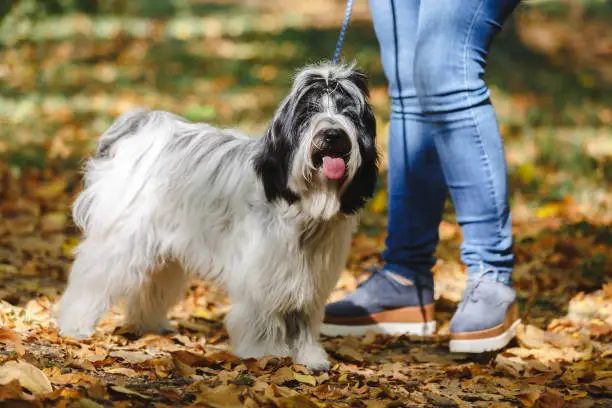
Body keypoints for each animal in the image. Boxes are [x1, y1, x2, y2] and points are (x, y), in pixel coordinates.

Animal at [59, 62, 380, 372]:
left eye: (348, 112)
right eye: (309, 112)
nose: (333, 134)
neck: (305, 206)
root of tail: (142, 131)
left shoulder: (310, 278)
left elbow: (302, 321)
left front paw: (309, 357)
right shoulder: (261, 273)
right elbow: (262, 317)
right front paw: (266, 354)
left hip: (166, 252)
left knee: (152, 286)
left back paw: (149, 325)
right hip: (121, 241)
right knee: (92, 279)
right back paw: (73, 324)